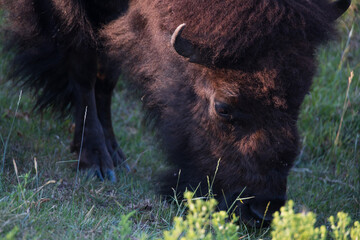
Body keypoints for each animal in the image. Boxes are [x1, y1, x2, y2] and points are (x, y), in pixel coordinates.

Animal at [1, 0, 350, 226]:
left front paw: (116, 156)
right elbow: (84, 65)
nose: (262, 213)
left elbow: (107, 73)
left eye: (301, 96)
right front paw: (96, 164)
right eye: (223, 108)